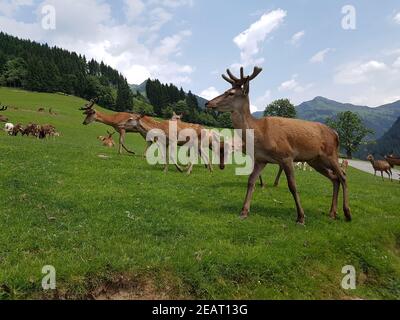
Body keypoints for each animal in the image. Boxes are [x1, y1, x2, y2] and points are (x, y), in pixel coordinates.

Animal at [206, 66, 350, 224]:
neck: (260, 133)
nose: (208, 103)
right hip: (315, 160)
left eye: (231, 93)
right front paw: (244, 211)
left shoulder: (287, 156)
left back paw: (347, 213)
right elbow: (250, 181)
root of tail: (336, 134)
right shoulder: (261, 159)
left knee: (343, 176)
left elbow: (292, 186)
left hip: (331, 154)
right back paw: (332, 213)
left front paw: (301, 217)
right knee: (334, 178)